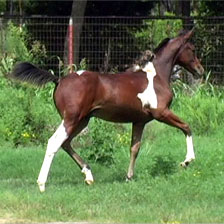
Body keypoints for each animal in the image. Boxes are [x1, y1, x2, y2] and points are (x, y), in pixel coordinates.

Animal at [9, 28, 204, 192]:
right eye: (193, 49)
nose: (200, 71)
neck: (155, 77)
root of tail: (59, 80)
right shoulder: (161, 113)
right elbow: (186, 127)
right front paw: (187, 161)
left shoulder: (139, 121)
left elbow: (134, 148)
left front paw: (128, 177)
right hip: (71, 119)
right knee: (54, 142)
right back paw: (42, 184)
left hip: (82, 120)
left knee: (65, 143)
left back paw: (88, 175)